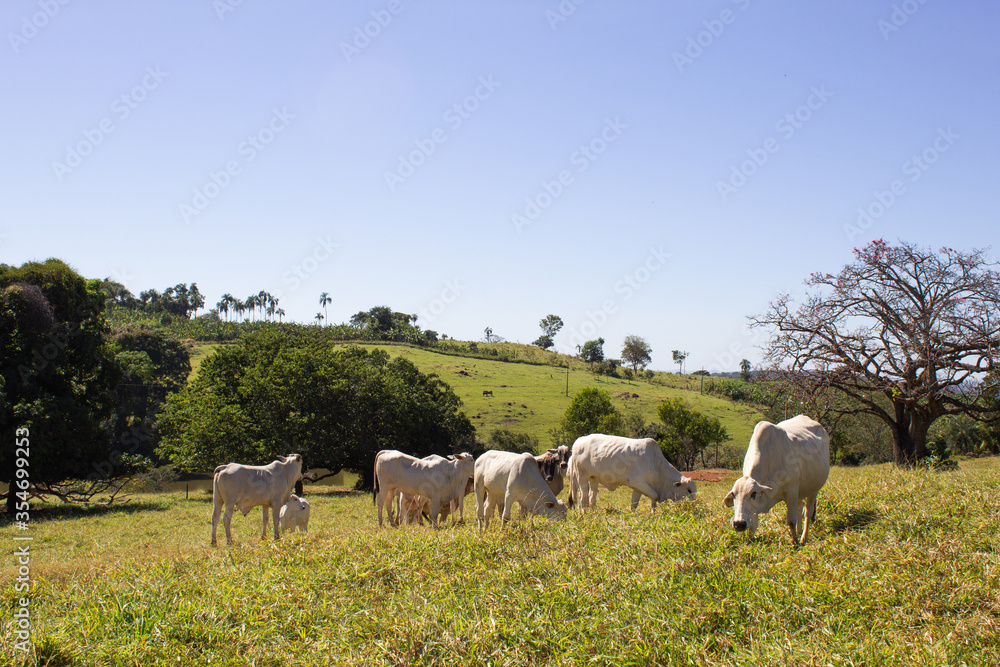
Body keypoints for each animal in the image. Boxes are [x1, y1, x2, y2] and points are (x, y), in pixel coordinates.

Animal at [724, 414, 832, 544]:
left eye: (753, 494)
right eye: (733, 495)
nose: (739, 524)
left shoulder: (791, 492)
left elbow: (791, 521)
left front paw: (795, 542)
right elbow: (752, 526)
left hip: (814, 489)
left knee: (808, 512)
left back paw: (803, 537)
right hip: (800, 490)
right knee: (800, 507)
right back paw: (799, 530)